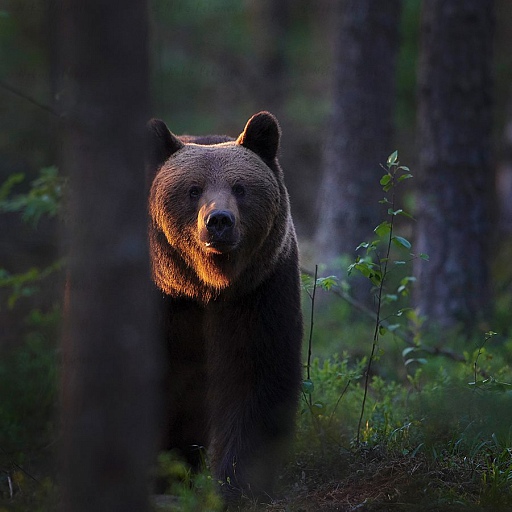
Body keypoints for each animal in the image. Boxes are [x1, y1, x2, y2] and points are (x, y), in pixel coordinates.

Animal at [146, 113, 302, 504]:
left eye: (240, 188)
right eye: (193, 189)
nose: (218, 220)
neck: (203, 287)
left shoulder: (260, 291)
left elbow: (256, 380)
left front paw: (237, 484)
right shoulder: (162, 299)